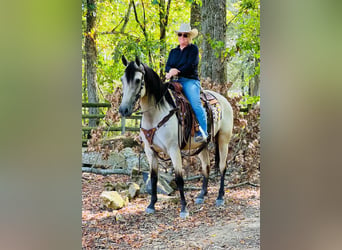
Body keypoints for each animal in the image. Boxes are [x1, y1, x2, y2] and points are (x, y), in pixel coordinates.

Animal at [119, 55, 234, 218]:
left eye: (137, 80)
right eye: (122, 79)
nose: (123, 110)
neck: (156, 114)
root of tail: (223, 100)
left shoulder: (174, 149)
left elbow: (179, 178)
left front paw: (184, 208)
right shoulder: (150, 151)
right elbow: (154, 178)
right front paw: (151, 205)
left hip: (224, 140)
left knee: (222, 167)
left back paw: (220, 197)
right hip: (202, 145)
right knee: (206, 167)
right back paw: (201, 195)